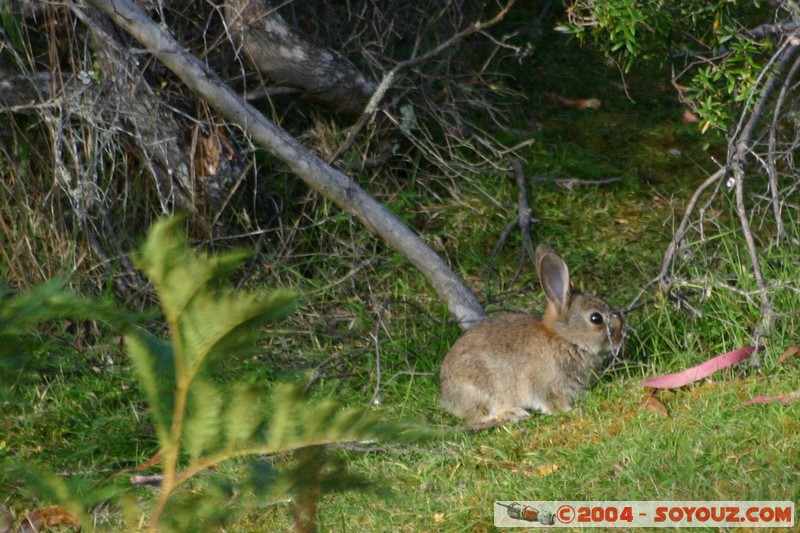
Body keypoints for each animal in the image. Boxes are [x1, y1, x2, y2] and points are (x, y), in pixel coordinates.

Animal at [438, 243, 624, 422]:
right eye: (596, 318)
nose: (621, 335)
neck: (565, 338)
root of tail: (446, 395)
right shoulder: (546, 385)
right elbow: (550, 401)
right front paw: (568, 411)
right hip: (481, 388)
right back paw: (513, 413)